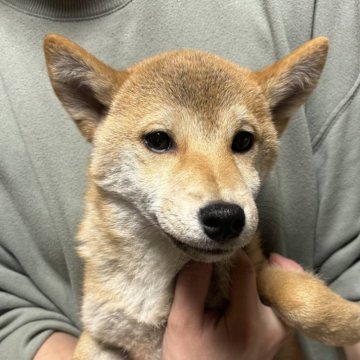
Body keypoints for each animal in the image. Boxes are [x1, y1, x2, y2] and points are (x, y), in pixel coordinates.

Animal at [44, 34, 360, 360]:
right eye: (158, 140)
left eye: (243, 140)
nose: (225, 218)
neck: (156, 274)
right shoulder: (101, 334)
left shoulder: (259, 269)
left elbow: (301, 295)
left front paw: (349, 320)